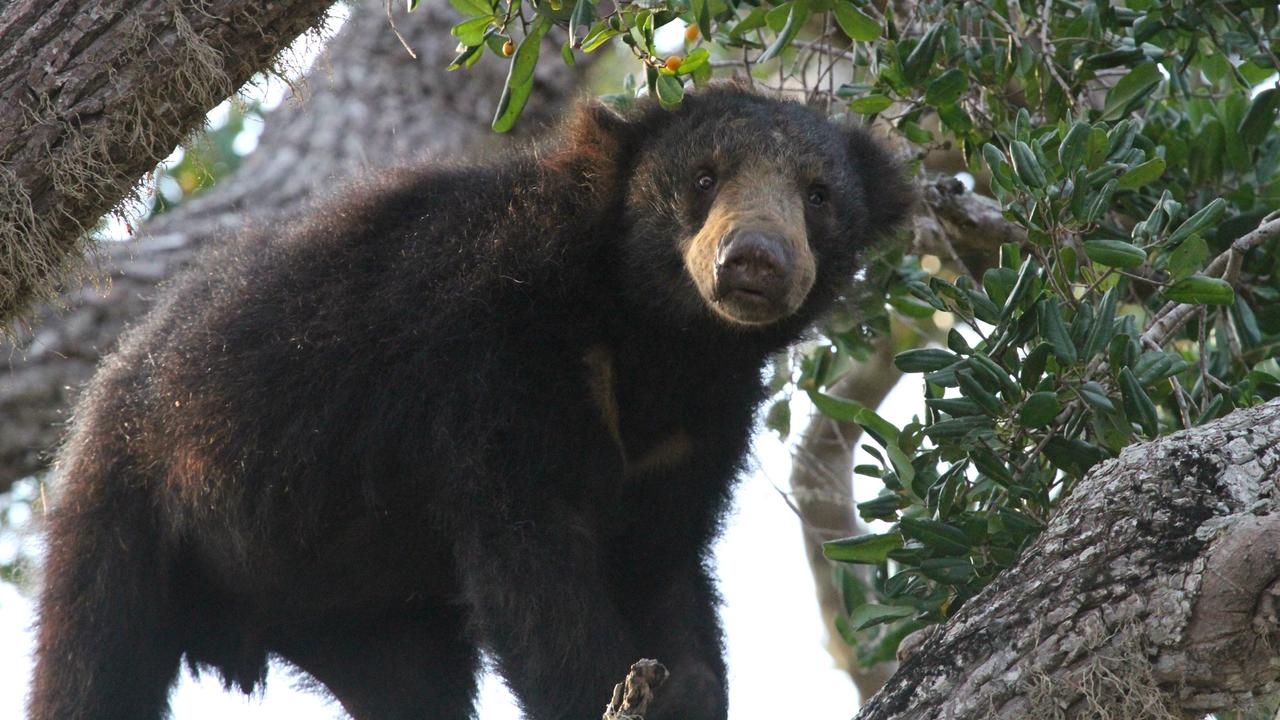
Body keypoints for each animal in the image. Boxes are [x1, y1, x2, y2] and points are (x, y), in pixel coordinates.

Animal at [29, 85, 911, 720]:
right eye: (704, 178)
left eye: (819, 195)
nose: (754, 262)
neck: (657, 340)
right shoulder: (491, 370)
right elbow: (532, 567)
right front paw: (607, 692)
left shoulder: (702, 428)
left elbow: (660, 560)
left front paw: (688, 691)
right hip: (134, 504)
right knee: (93, 662)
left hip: (364, 609)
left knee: (411, 688)